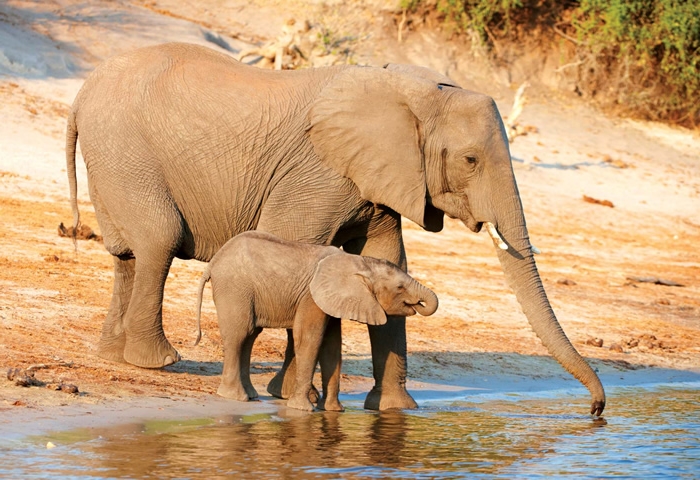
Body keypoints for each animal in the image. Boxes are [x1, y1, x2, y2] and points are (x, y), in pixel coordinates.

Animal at [193, 231, 439, 412]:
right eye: (400, 287)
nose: (418, 303)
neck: (358, 263)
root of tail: (213, 262)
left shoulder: (329, 299)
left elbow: (332, 346)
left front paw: (333, 411)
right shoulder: (311, 297)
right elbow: (310, 339)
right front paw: (303, 409)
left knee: (250, 336)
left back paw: (250, 396)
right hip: (234, 289)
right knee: (239, 334)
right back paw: (236, 397)